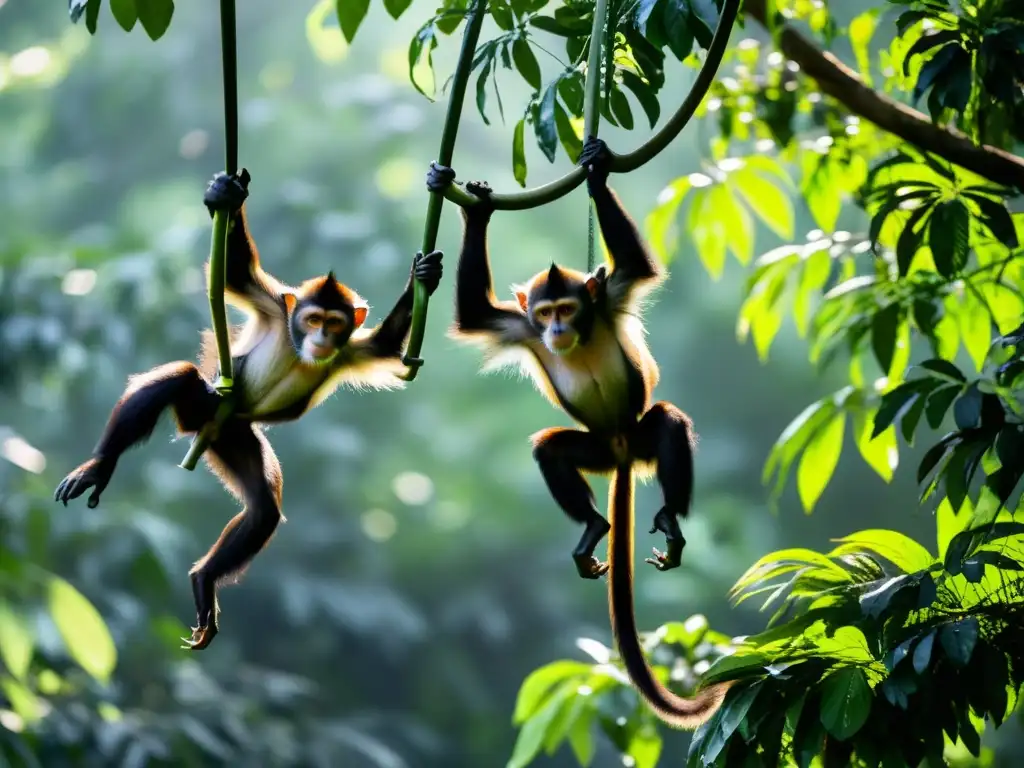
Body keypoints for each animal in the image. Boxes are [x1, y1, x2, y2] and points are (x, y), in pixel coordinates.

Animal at [56, 171, 440, 651]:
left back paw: (204, 580)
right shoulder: (277, 307)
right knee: (182, 378)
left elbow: (388, 346)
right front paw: (224, 193)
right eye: (312, 320)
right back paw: (100, 467)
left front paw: (424, 274)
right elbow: (234, 272)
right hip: (208, 406)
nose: (321, 338)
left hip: (233, 435)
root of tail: (204, 430)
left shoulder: (351, 348)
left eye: (334, 324)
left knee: (263, 510)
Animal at [428, 138, 733, 729]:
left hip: (638, 436)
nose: (557, 328)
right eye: (545, 311)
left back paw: (668, 518)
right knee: (551, 449)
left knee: (666, 421)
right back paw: (594, 526)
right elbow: (476, 313)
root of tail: (619, 447)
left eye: (569, 308)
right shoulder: (518, 325)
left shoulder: (608, 296)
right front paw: (478, 210)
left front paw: (597, 164)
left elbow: (634, 265)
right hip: (592, 448)